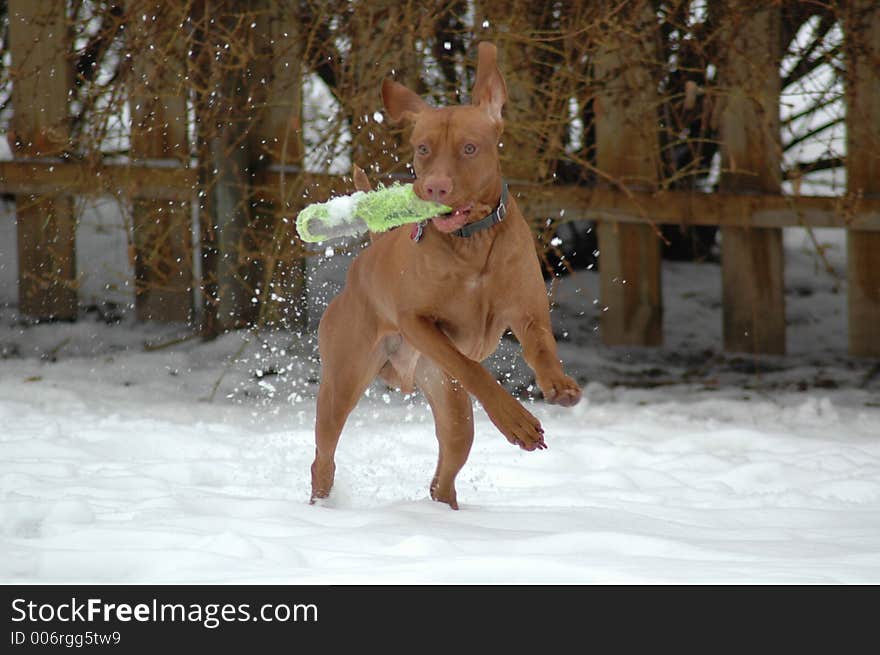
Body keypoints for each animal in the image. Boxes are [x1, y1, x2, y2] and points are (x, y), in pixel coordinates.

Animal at [306, 43, 580, 510]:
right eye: (422, 149)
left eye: (469, 148)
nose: (435, 187)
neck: (472, 245)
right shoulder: (418, 324)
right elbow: (471, 367)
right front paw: (516, 421)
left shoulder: (527, 312)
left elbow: (541, 347)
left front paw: (558, 384)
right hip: (342, 382)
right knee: (324, 456)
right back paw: (321, 505)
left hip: (449, 407)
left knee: (442, 478)